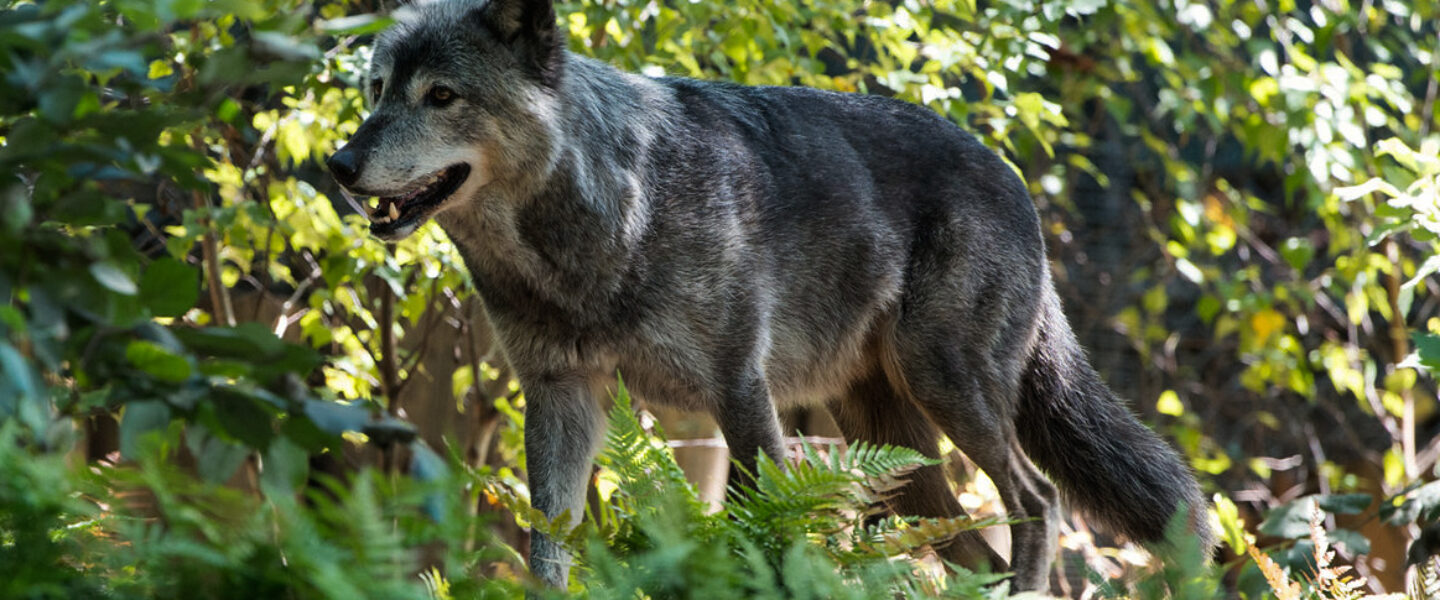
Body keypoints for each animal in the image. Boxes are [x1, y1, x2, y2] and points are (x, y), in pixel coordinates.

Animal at [326, 0, 1213, 591]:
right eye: (375, 90)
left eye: (442, 96)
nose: (338, 165)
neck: (608, 219)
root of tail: (1017, 178)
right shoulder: (560, 395)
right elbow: (550, 544)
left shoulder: (739, 390)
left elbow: (767, 529)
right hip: (895, 446)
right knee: (975, 544)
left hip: (950, 391)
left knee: (1040, 501)